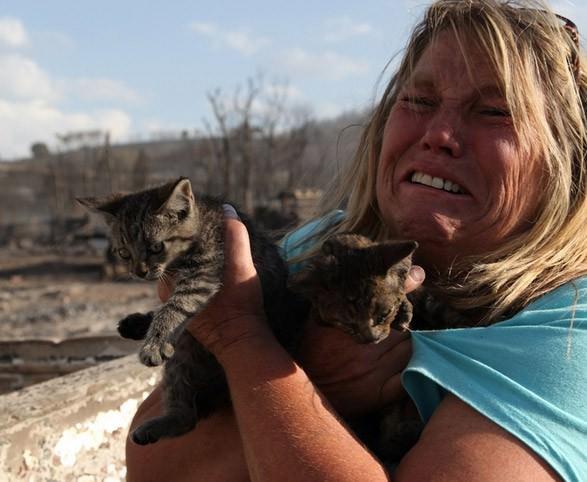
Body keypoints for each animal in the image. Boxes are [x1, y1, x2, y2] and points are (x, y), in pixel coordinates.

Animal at [77, 177, 304, 444]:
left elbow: (175, 306)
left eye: (156, 247)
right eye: (124, 253)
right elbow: (163, 308)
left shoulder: (203, 272)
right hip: (178, 365)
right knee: (186, 417)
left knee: (188, 420)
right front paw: (139, 324)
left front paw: (155, 341)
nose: (138, 272)